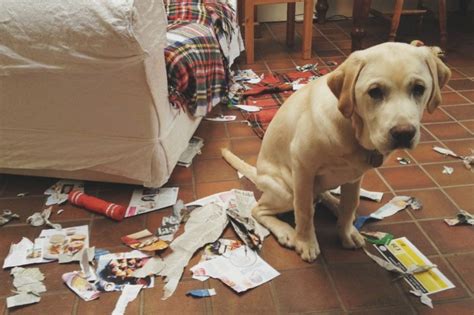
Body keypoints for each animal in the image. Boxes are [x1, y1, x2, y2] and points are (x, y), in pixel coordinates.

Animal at [221, 42, 448, 264]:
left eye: (418, 88)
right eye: (375, 92)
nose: (403, 133)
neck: (353, 130)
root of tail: (258, 174)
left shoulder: (355, 176)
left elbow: (351, 204)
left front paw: (346, 232)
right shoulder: (303, 168)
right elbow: (304, 210)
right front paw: (306, 242)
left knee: (322, 196)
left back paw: (335, 205)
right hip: (287, 189)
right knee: (260, 209)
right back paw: (286, 232)